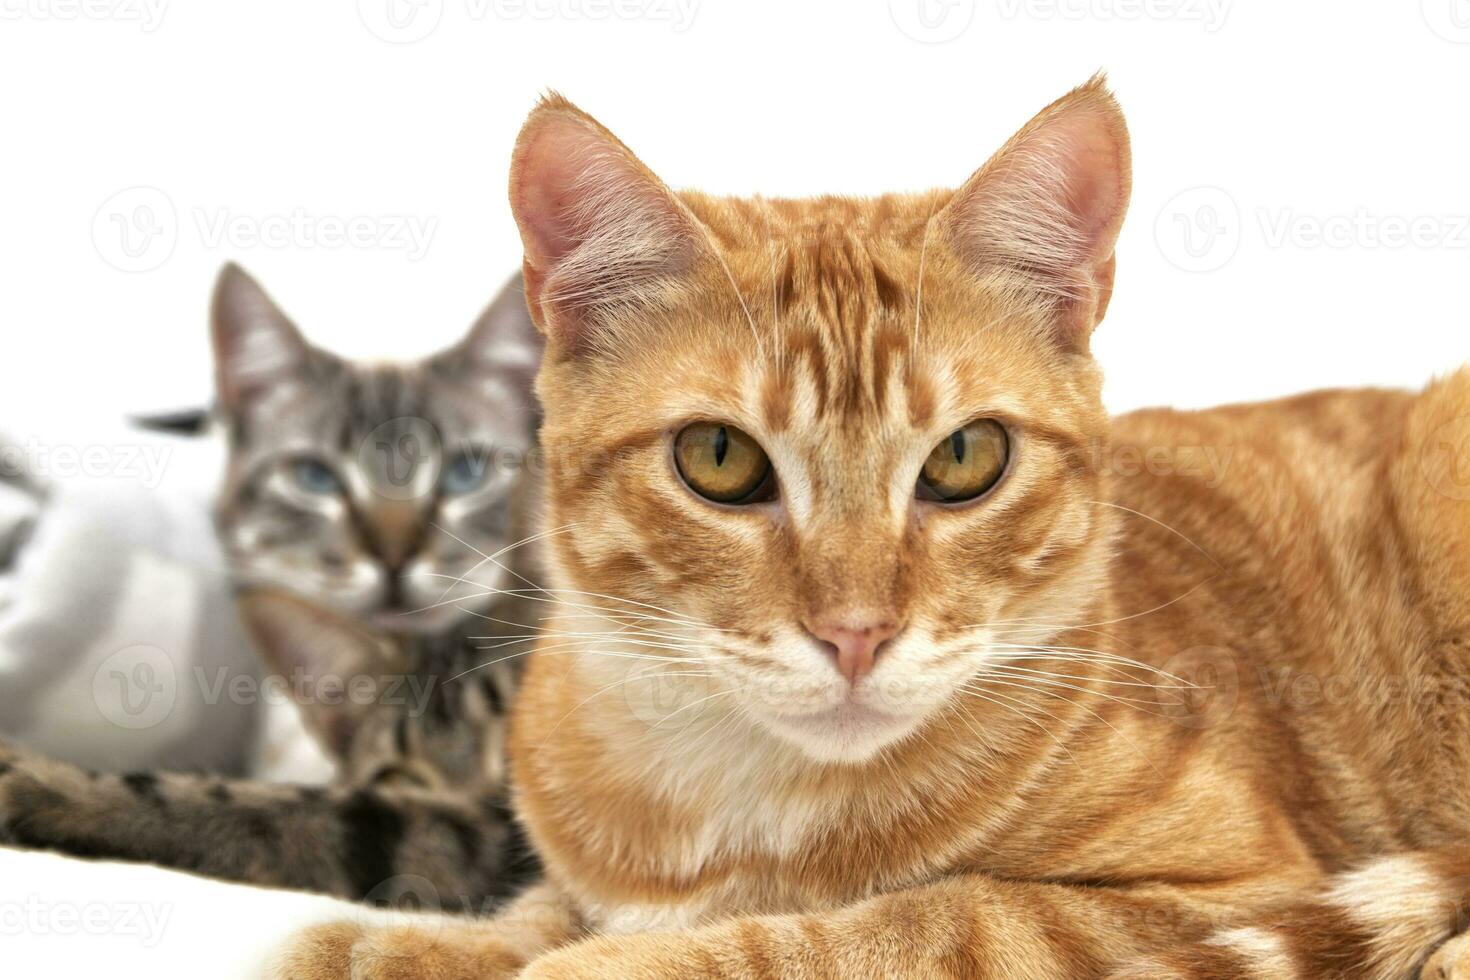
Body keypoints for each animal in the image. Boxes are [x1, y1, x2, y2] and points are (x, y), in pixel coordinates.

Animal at [0, 265, 546, 910]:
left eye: (466, 474)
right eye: (314, 478)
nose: (393, 557)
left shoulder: (486, 840)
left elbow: (292, 815)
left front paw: (46, 786)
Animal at [276, 78, 1470, 980]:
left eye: (965, 458)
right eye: (720, 461)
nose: (855, 633)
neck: (729, 797)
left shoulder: (1222, 885)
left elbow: (918, 919)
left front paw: (619, 961)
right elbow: (536, 909)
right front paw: (417, 941)